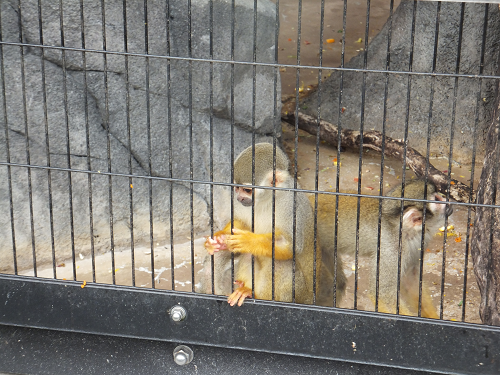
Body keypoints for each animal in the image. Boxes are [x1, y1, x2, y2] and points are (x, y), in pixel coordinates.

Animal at [204, 142, 318, 306]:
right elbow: (241, 223)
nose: (239, 198)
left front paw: (247, 241)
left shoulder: (290, 203)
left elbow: (290, 245)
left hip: (300, 294)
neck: (268, 198)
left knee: (282, 264)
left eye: (247, 190)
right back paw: (245, 289)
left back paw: (255, 295)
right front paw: (220, 238)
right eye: (237, 188)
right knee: (249, 255)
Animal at [314, 181, 452, 318]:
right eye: (437, 199)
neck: (403, 231)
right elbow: (383, 295)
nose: (447, 201)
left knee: (338, 283)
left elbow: (410, 281)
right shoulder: (391, 249)